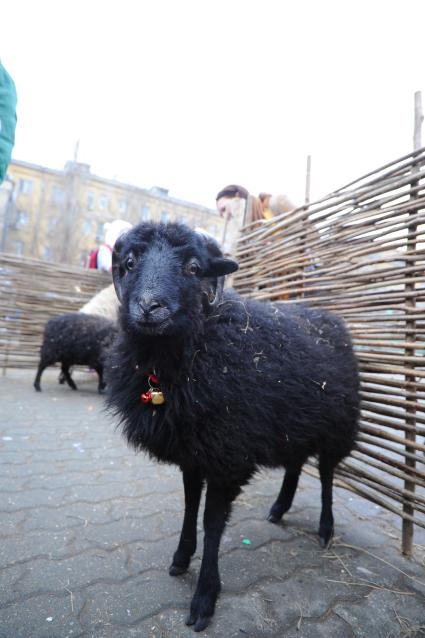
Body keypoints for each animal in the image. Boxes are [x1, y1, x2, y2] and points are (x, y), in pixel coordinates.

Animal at [105, 222, 358, 632]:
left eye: (194, 268)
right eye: (129, 262)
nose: (149, 307)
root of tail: (330, 318)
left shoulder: (227, 456)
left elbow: (212, 522)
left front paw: (205, 597)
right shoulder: (194, 451)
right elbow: (190, 506)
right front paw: (181, 557)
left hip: (336, 426)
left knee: (325, 476)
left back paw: (325, 528)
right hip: (293, 423)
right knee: (295, 465)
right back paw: (279, 508)